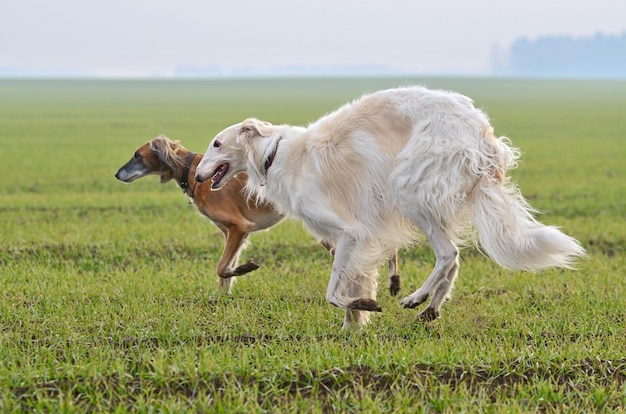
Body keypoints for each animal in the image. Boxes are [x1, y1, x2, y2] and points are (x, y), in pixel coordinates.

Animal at [194, 85, 580, 328]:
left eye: (216, 143)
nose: (196, 176)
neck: (275, 153)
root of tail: (482, 132)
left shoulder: (351, 233)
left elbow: (334, 293)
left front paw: (361, 309)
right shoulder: (351, 240)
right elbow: (351, 285)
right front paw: (352, 327)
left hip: (408, 191)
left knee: (448, 254)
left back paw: (416, 298)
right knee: (454, 260)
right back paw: (431, 309)